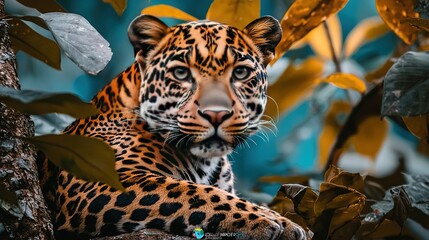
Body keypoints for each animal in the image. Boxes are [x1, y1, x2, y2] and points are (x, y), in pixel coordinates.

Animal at [39, 14, 308, 240]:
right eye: (181, 73)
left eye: (240, 72)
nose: (216, 114)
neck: (206, 162)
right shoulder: (99, 178)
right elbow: (193, 192)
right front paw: (266, 219)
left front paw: (279, 219)